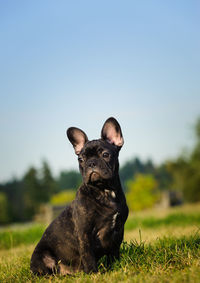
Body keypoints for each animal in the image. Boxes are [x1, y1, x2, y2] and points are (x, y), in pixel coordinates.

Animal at [30, 117, 129, 276]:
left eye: (105, 155)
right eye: (81, 160)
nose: (91, 163)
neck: (105, 191)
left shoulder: (118, 230)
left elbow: (114, 251)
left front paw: (115, 266)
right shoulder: (84, 232)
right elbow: (88, 254)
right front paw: (93, 273)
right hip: (43, 258)